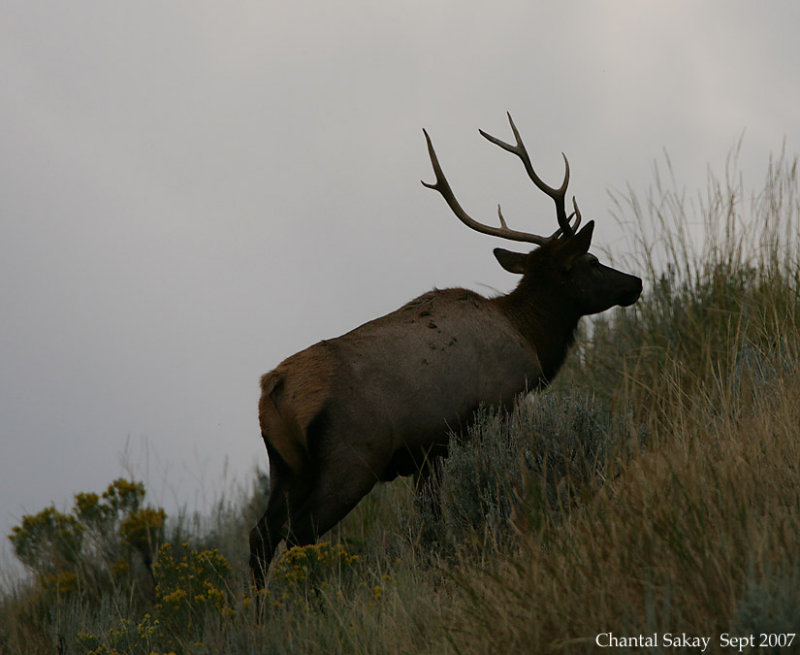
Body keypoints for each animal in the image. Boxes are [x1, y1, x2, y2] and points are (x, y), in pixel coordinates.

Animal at [252, 114, 644, 588]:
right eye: (591, 261)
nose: (635, 283)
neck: (529, 335)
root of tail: (274, 389)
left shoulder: (427, 451)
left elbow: (429, 522)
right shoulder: (499, 404)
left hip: (284, 466)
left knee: (262, 535)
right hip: (350, 458)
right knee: (298, 534)